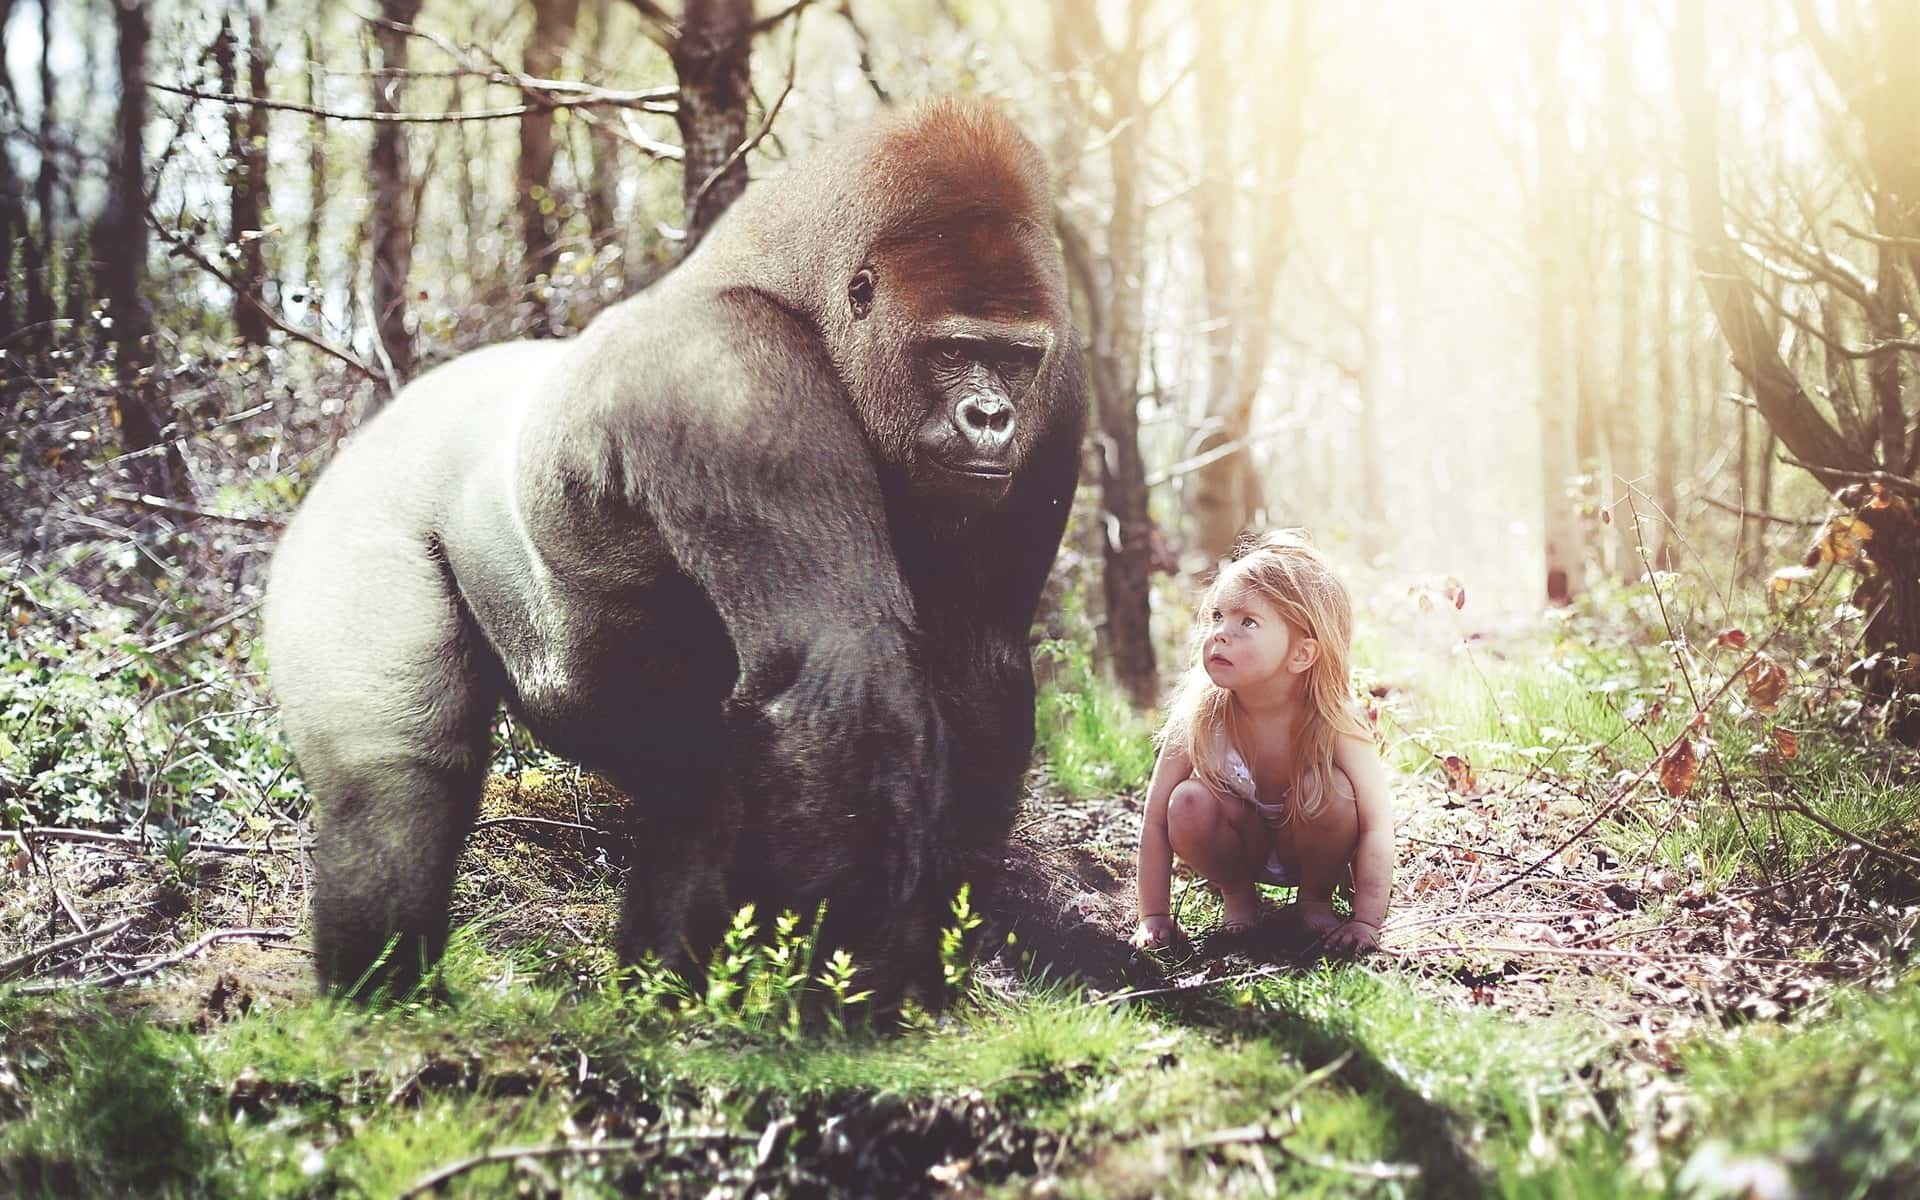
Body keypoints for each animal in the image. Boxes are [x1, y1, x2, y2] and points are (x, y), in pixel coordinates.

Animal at [262, 97, 1086, 999]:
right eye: (953, 351)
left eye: (1013, 359)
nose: (991, 417)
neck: (800, 288)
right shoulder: (730, 375)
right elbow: (844, 669)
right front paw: (848, 998)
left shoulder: (1059, 394)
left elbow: (978, 664)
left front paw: (925, 962)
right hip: (361, 506)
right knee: (396, 783)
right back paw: (382, 991)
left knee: (692, 788)